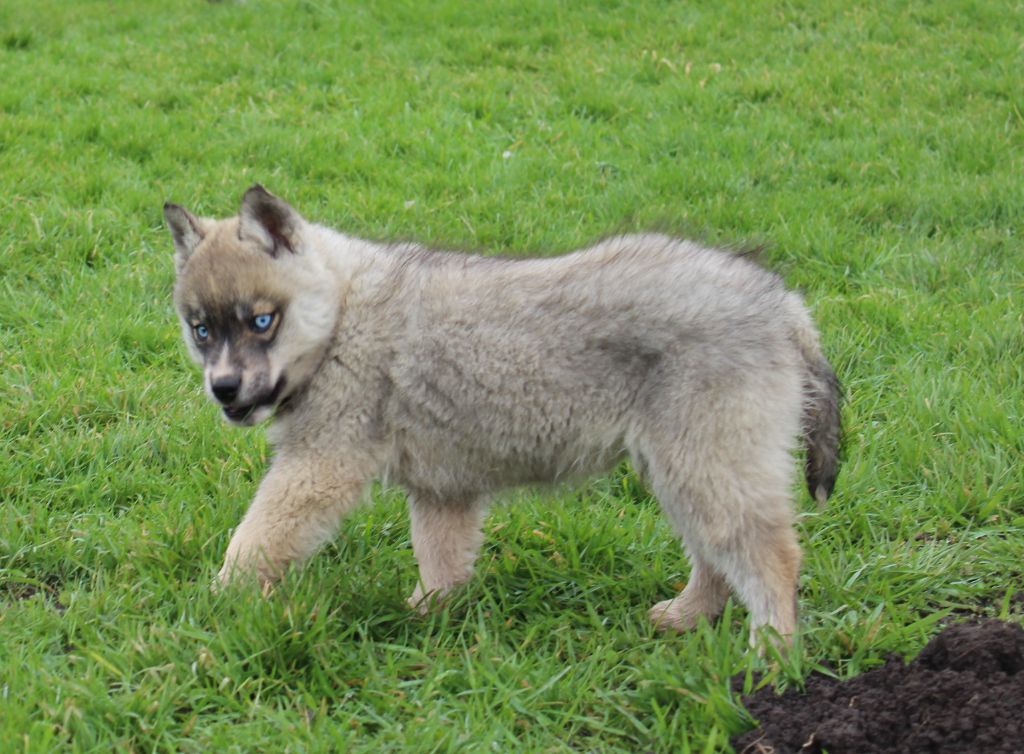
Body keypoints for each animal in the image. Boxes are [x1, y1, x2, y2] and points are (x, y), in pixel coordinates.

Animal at [164, 185, 840, 643]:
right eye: (201, 330)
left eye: (261, 320)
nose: (223, 389)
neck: (341, 315)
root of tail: (784, 306)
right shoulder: (444, 491)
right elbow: (440, 560)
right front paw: (427, 619)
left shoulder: (316, 467)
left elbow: (253, 540)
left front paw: (212, 605)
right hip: (684, 468)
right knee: (715, 554)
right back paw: (688, 616)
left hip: (707, 461)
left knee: (771, 558)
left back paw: (770, 656)